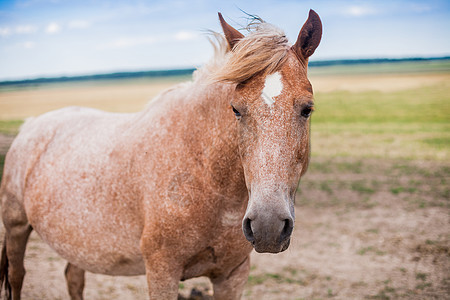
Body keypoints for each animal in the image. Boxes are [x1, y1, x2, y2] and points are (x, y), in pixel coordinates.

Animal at [0, 9, 324, 300]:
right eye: (236, 109)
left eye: (307, 109)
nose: (268, 225)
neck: (203, 176)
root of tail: (30, 125)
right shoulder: (161, 272)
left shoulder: (232, 275)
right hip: (16, 228)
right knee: (17, 276)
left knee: (74, 278)